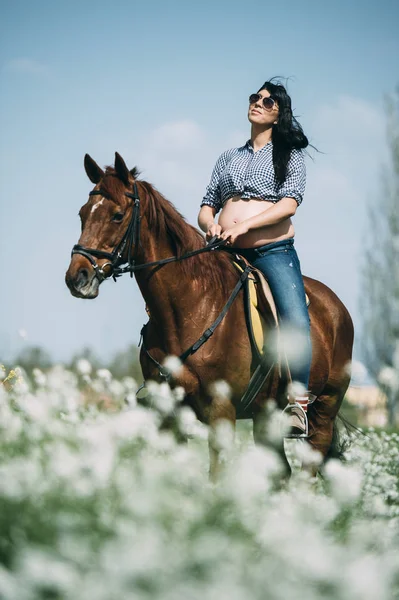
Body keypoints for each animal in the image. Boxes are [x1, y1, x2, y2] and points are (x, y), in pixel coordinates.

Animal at [66, 152, 356, 480]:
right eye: (82, 214)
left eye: (117, 215)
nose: (77, 277)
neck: (189, 309)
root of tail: (336, 307)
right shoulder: (169, 415)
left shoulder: (221, 412)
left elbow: (217, 476)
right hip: (265, 416)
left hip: (325, 408)